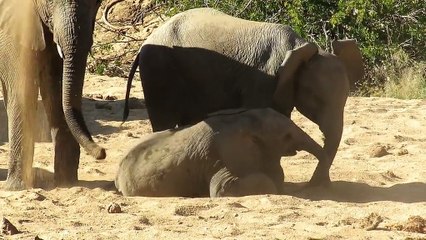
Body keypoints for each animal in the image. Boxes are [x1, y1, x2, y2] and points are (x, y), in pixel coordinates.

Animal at [0, 0, 105, 190]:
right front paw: (16, 188)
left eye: (97, 3)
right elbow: (22, 90)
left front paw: (67, 183)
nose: (102, 152)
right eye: (49, 2)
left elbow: (55, 87)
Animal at [122, 7, 362, 184]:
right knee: (164, 120)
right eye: (315, 99)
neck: (298, 46)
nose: (316, 185)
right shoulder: (263, 81)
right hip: (159, 72)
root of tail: (146, 40)